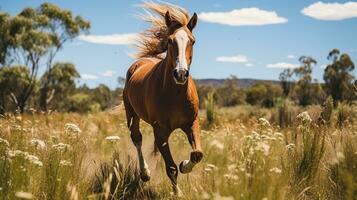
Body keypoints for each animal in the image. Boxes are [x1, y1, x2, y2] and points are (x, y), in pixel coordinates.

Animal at [122, 1, 202, 195]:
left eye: (192, 41)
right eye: (170, 40)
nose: (181, 74)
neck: (176, 94)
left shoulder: (192, 123)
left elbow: (197, 154)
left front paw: (184, 164)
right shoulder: (160, 130)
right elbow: (171, 168)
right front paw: (178, 193)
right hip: (132, 115)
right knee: (137, 138)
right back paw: (145, 174)